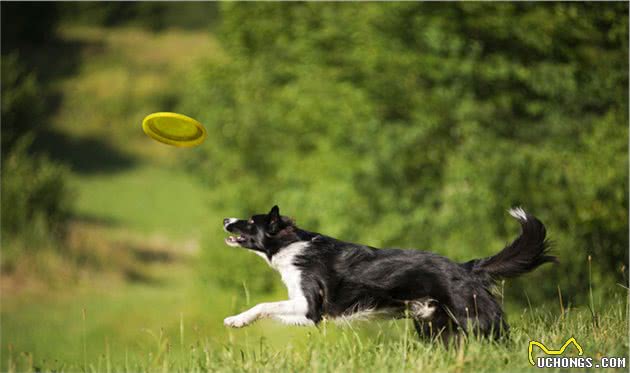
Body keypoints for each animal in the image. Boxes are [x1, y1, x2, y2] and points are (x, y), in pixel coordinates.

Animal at [222, 205, 556, 342]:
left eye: (250, 221)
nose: (225, 219)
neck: (289, 245)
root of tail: (466, 267)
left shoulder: (310, 307)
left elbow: (263, 305)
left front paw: (236, 320)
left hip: (472, 318)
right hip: (434, 325)